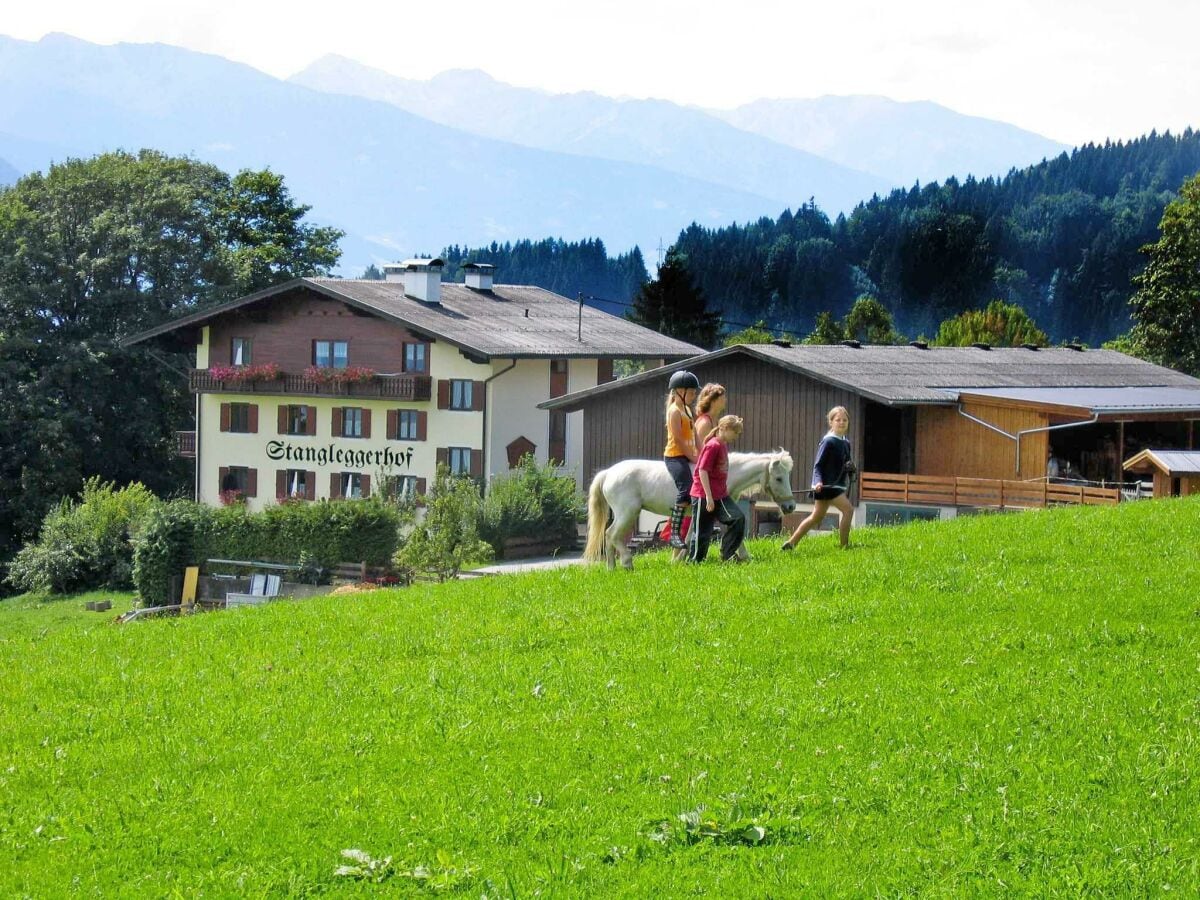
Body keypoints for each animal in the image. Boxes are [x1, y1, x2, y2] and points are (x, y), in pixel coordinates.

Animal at [583, 451, 796, 571]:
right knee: (612, 535)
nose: (791, 506)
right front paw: (744, 557)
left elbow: (688, 536)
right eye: (778, 478)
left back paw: (611, 567)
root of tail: (608, 473)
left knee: (609, 535)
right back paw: (626, 563)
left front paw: (679, 560)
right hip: (627, 512)